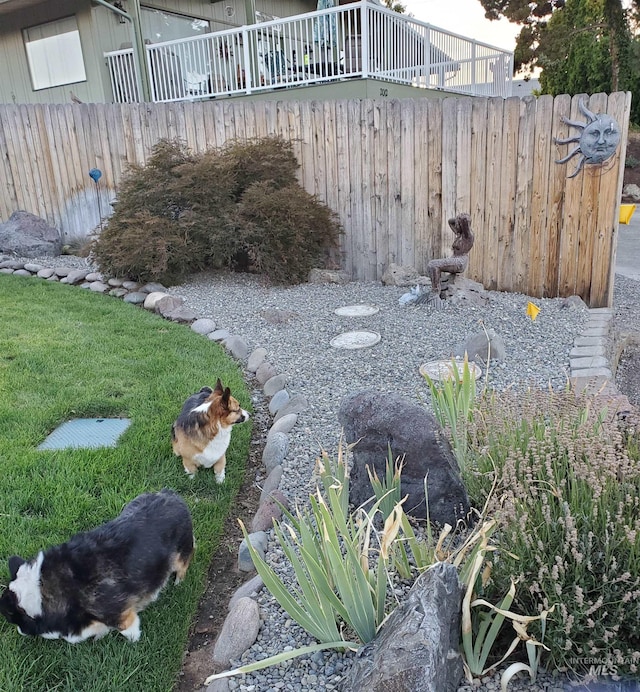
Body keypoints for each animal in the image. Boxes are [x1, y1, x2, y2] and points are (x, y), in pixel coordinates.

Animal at [0, 492, 192, 644]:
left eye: (15, 618)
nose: (21, 632)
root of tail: (171, 494)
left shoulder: (120, 615)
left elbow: (128, 629)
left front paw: (134, 641)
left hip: (181, 554)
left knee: (183, 565)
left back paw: (178, 582)